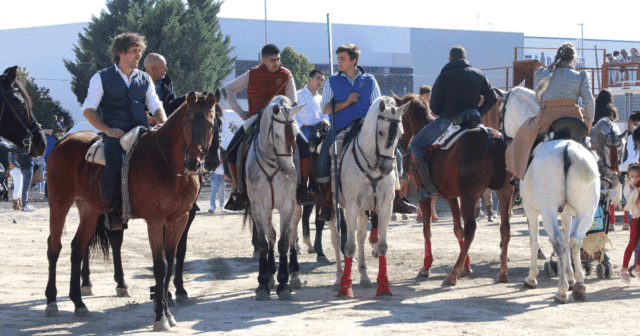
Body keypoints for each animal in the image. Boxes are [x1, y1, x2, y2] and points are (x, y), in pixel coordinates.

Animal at [45, 91, 220, 330]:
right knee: (54, 247)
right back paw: (52, 301)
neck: (167, 162)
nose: (195, 163)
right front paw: (160, 317)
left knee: (77, 248)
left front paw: (168, 311)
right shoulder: (155, 220)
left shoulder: (180, 219)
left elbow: (171, 261)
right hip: (59, 203)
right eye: (186, 121)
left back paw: (78, 302)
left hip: (89, 210)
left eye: (212, 124)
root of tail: (64, 140)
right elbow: (160, 265)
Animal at [246, 96, 304, 300]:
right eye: (277, 135)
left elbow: (285, 241)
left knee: (293, 235)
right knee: (271, 234)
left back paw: (294, 275)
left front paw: (283, 284)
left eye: (295, 132)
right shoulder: (258, 207)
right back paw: (270, 275)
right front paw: (263, 283)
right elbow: (264, 242)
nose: (289, 169)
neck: (273, 164)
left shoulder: (288, 205)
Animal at [328, 96, 408, 296]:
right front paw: (345, 288)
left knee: (361, 237)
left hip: (365, 210)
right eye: (380, 132)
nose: (386, 168)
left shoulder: (384, 207)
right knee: (336, 239)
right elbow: (348, 247)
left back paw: (364, 277)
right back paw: (338, 279)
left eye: (400, 133)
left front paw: (384, 287)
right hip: (332, 208)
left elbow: (381, 246)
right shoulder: (351, 208)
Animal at [392, 93, 512, 284]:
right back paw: (502, 272)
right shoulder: (451, 195)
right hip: (504, 191)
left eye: (400, 118)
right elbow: (457, 230)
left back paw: (452, 274)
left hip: (469, 195)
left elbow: (427, 230)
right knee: (505, 228)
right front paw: (467, 266)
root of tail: (492, 137)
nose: (402, 145)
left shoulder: (424, 194)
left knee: (471, 229)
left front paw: (426, 266)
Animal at [504, 86, 600, 302]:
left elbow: (534, 241)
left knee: (558, 242)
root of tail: (568, 148)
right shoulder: (567, 212)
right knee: (574, 241)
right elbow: (567, 236)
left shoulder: (531, 210)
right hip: (587, 212)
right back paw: (579, 285)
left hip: (547, 212)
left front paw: (531, 278)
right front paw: (572, 276)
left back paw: (562, 291)